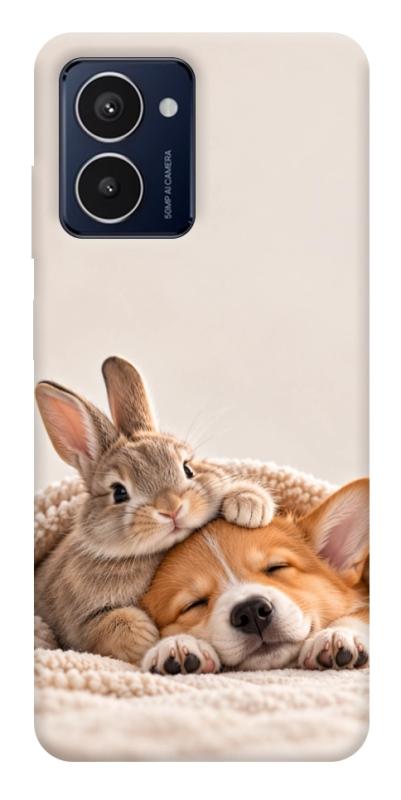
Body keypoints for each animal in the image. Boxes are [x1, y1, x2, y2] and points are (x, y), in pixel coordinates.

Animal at [35, 356, 276, 664]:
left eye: (187, 469)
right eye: (119, 492)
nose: (171, 508)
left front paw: (249, 505)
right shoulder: (78, 623)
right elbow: (107, 626)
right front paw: (147, 638)